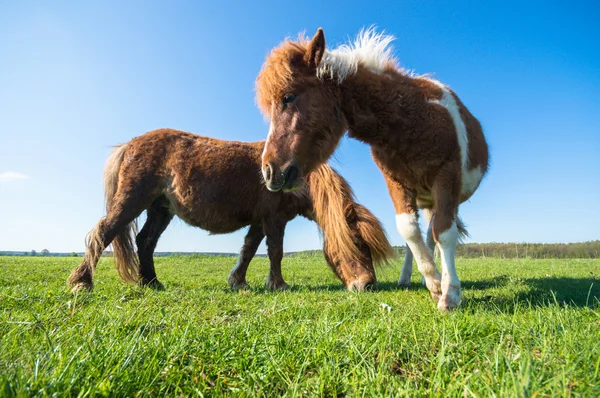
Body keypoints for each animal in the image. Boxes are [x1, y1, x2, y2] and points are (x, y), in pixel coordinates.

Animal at [67, 128, 394, 292]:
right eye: (357, 244)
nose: (368, 285)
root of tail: (130, 144)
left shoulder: (260, 222)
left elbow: (248, 250)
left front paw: (238, 282)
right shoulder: (274, 220)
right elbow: (275, 252)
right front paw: (279, 285)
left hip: (160, 210)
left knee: (145, 242)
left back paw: (152, 283)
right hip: (132, 200)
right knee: (104, 232)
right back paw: (82, 282)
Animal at [255, 28, 490, 310]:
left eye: (288, 97)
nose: (269, 171)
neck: (412, 117)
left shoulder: (447, 176)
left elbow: (444, 234)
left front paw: (450, 293)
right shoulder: (396, 181)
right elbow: (408, 230)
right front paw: (434, 284)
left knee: (436, 232)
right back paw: (411, 278)